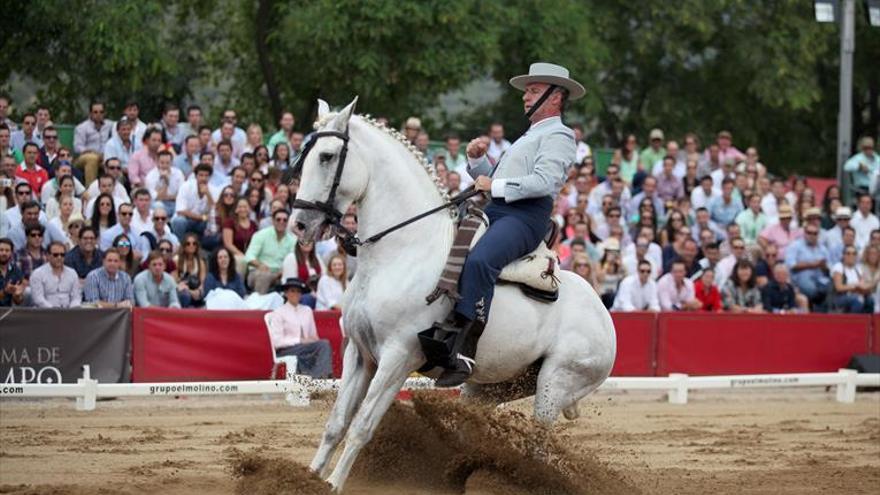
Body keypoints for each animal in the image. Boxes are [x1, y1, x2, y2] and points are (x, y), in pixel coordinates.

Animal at [292, 97, 616, 492]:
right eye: (303, 156)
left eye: (326, 156)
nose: (300, 224)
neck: (402, 251)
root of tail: (604, 315)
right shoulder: (359, 352)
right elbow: (336, 424)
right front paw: (307, 478)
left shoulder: (397, 358)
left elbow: (362, 426)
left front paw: (334, 484)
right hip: (490, 387)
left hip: (555, 384)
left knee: (539, 447)